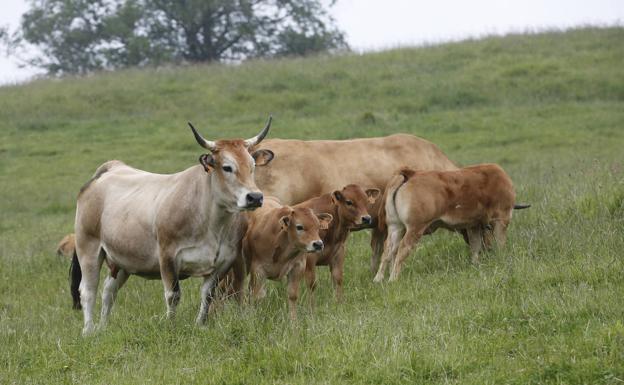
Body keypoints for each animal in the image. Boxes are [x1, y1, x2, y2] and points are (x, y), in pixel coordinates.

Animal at [372, 163, 528, 282]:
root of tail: (412, 174)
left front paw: (475, 264)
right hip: (414, 229)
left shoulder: (473, 226)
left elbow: (475, 245)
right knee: (403, 248)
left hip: (396, 227)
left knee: (388, 250)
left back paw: (378, 279)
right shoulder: (501, 219)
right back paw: (393, 279)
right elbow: (500, 242)